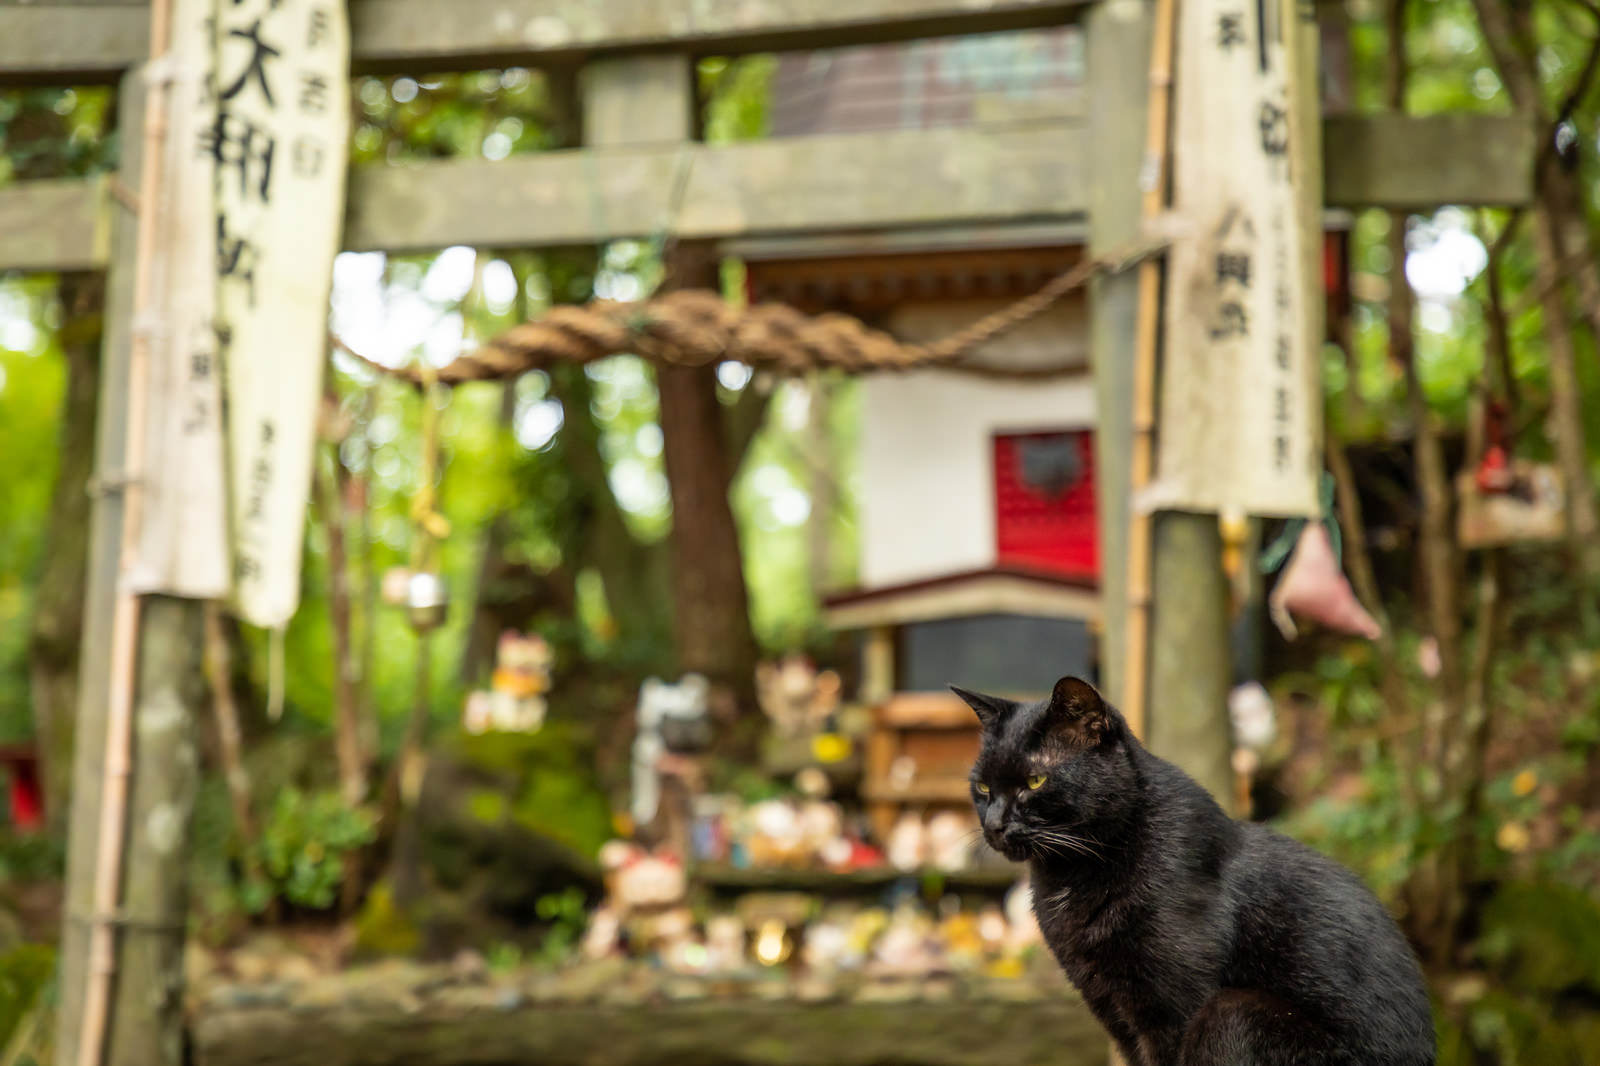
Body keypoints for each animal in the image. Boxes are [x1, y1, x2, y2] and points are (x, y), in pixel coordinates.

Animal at [947, 675, 1440, 1056]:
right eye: (983, 787)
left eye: (1035, 780)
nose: (993, 824)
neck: (1074, 874)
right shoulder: (1115, 1013)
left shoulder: (1173, 1008)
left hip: (1232, 1015)